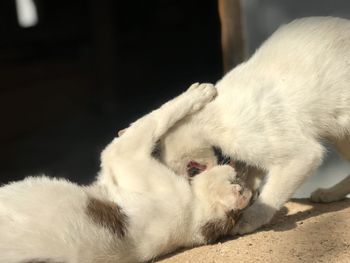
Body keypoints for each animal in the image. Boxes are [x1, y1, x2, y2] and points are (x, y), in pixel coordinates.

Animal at [0, 84, 252, 263]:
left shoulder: (123, 155)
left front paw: (198, 92)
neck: (195, 217)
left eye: (236, 176)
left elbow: (156, 116)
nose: (231, 165)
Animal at [161, 16, 350, 235]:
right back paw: (330, 193)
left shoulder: (301, 155)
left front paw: (247, 220)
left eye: (191, 172)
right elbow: (251, 177)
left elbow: (269, 197)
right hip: (340, 134)